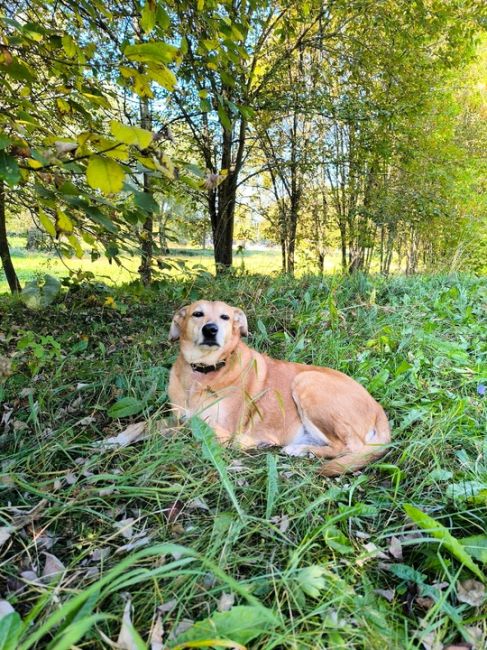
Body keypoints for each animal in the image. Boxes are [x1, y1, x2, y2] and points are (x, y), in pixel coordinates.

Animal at [170, 300, 390, 476]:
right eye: (197, 314)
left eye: (225, 317)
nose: (210, 329)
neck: (203, 371)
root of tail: (377, 406)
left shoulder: (223, 430)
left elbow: (195, 427)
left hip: (307, 381)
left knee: (349, 447)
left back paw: (299, 450)